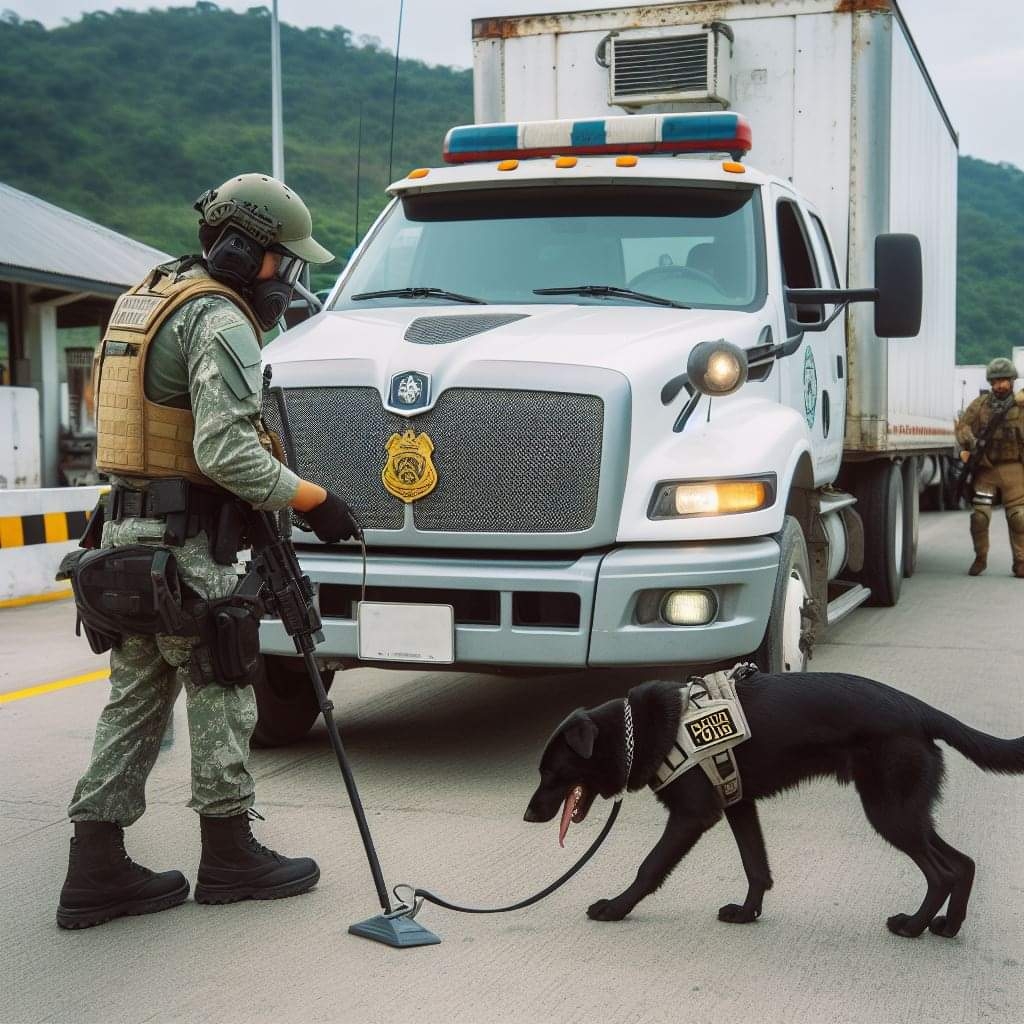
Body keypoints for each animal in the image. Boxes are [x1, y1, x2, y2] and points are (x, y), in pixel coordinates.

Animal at [528, 671, 1024, 937]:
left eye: (551, 773)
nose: (528, 814)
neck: (642, 729)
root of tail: (918, 709)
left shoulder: (692, 816)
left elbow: (649, 867)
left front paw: (616, 908)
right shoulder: (738, 805)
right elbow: (756, 866)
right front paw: (748, 913)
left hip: (891, 812)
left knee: (943, 871)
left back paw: (914, 926)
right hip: (906, 811)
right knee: (963, 863)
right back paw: (948, 927)